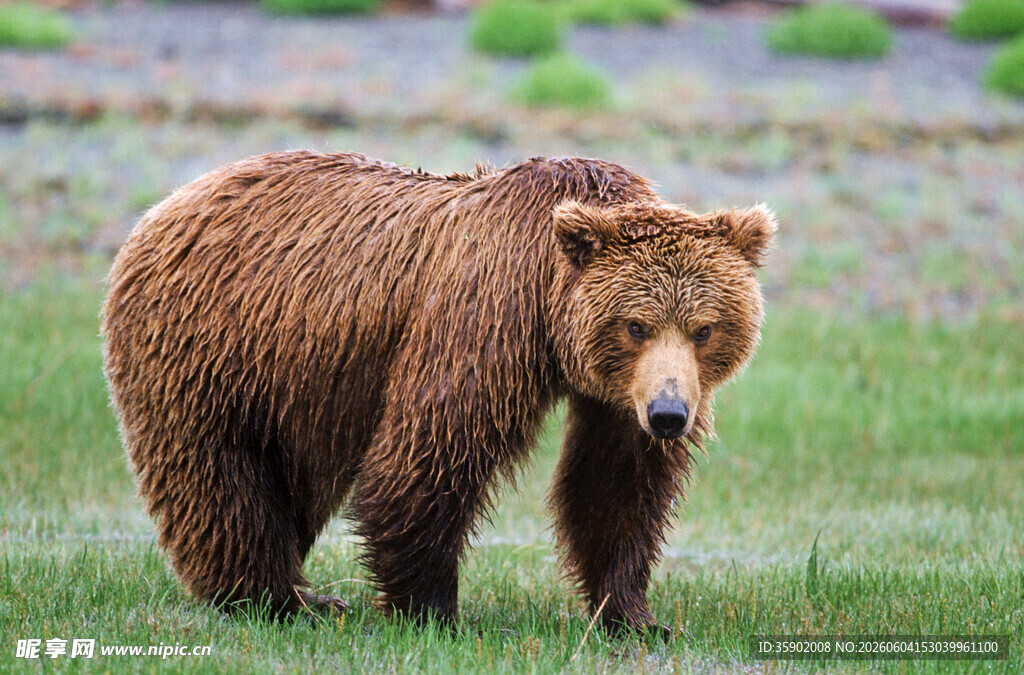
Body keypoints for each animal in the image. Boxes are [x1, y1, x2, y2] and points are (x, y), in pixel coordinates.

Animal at [102, 151, 774, 633]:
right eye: (636, 325)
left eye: (704, 328)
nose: (669, 415)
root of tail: (165, 206)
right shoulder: (487, 318)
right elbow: (430, 452)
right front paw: (436, 612)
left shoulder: (615, 396)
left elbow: (615, 486)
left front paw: (636, 616)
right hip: (209, 345)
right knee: (217, 475)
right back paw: (283, 600)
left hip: (298, 382)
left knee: (295, 479)